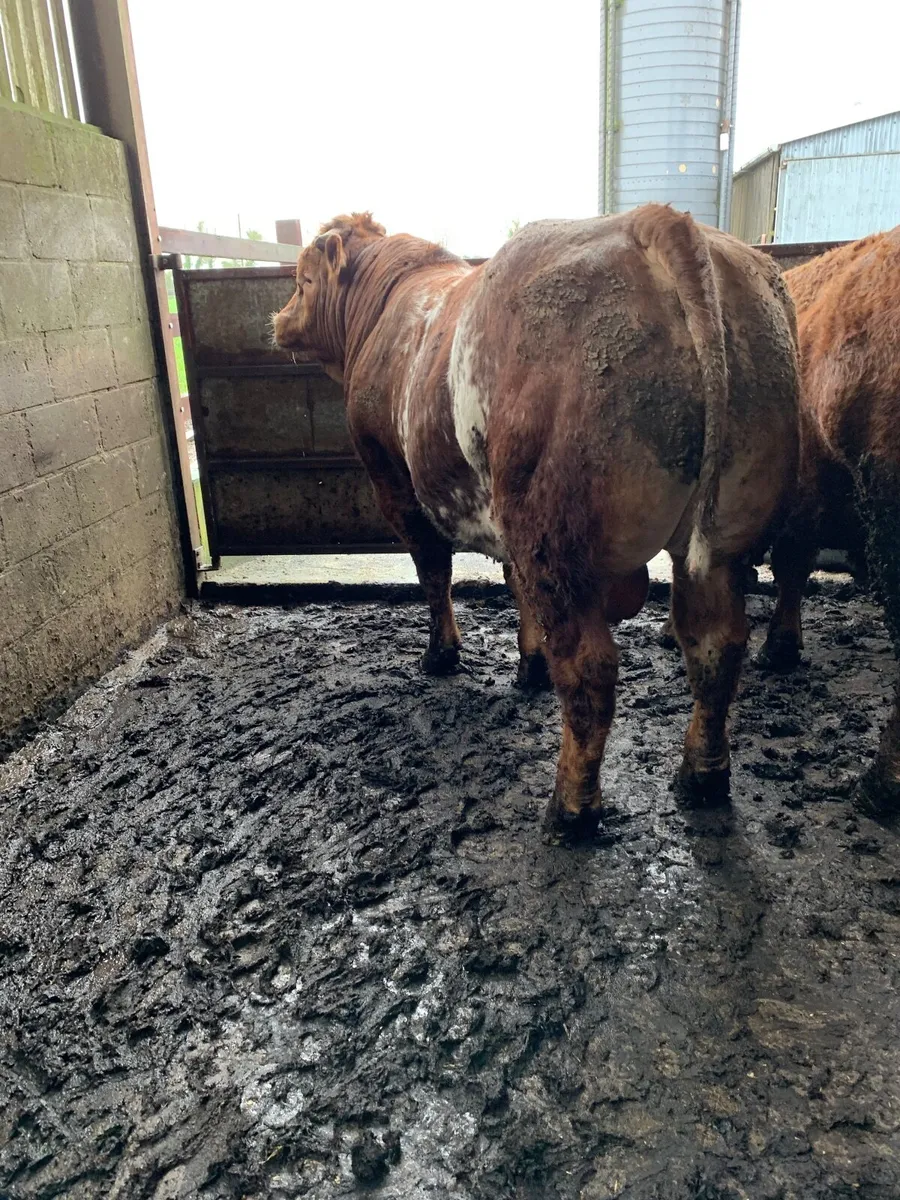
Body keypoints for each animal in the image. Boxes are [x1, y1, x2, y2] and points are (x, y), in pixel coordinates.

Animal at [274, 206, 799, 838]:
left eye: (303, 280)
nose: (278, 320)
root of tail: (656, 220)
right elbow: (512, 585)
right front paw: (529, 666)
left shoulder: (397, 486)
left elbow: (434, 575)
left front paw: (441, 656)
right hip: (720, 539)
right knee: (715, 648)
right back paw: (701, 777)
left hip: (554, 535)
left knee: (591, 669)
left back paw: (570, 809)